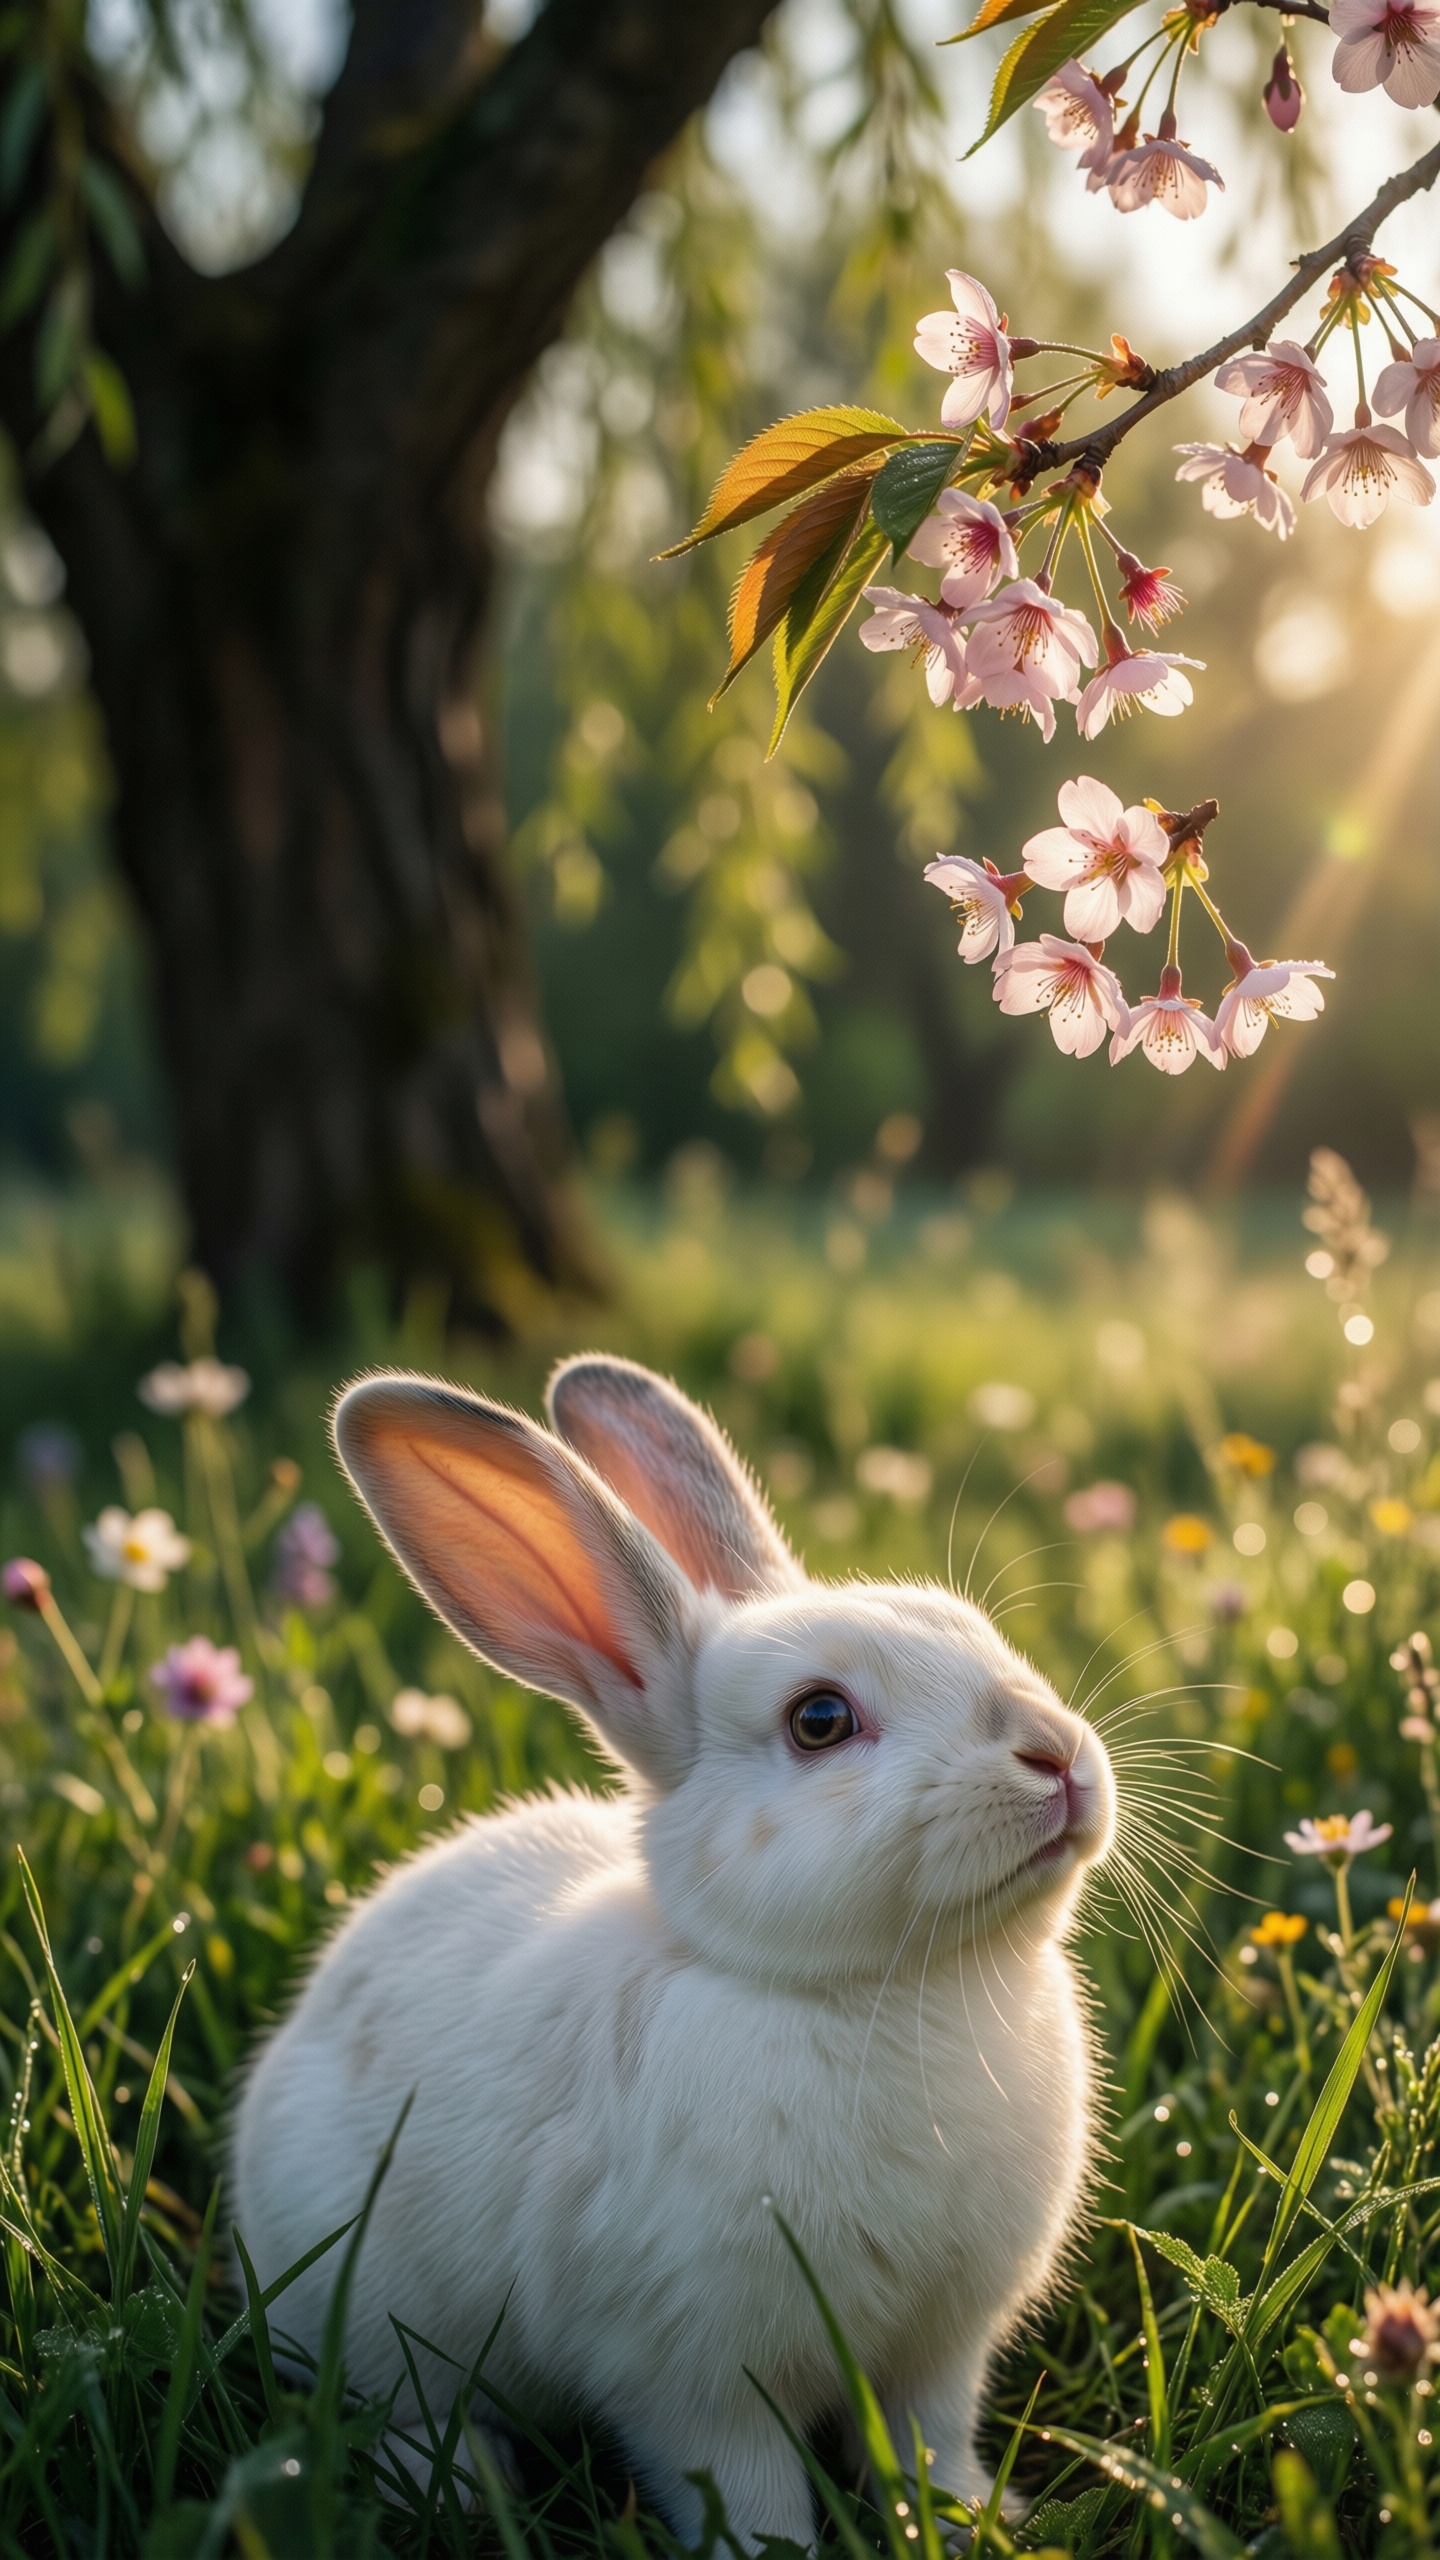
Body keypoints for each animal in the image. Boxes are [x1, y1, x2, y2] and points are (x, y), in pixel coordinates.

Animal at [230, 1355, 1115, 2544]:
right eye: (820, 1720)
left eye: (974, 1628)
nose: (1056, 1754)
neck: (883, 1989)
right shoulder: (692, 2376)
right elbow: (746, 2485)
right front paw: (779, 2552)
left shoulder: (941, 2345)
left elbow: (929, 2435)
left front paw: (973, 2516)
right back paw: (458, 2480)